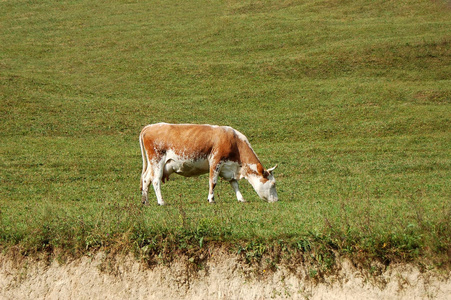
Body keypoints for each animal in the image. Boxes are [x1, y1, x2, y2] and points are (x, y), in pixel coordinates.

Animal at [139, 123, 278, 205]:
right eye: (273, 184)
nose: (277, 200)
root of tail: (149, 127)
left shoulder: (229, 168)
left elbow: (234, 184)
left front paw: (241, 198)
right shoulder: (216, 161)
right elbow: (213, 181)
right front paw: (211, 199)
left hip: (152, 164)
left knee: (146, 179)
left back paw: (145, 201)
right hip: (157, 160)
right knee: (155, 180)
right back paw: (161, 201)